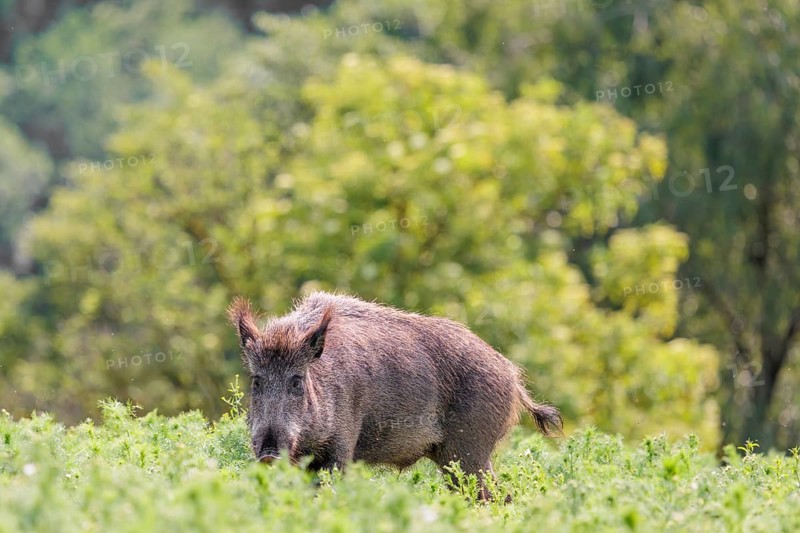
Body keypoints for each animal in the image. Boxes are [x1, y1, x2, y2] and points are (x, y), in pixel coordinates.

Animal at [228, 291, 561, 501]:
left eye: (297, 381)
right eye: (256, 381)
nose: (269, 454)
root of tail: (511, 374)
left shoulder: (343, 443)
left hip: (470, 447)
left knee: (491, 496)